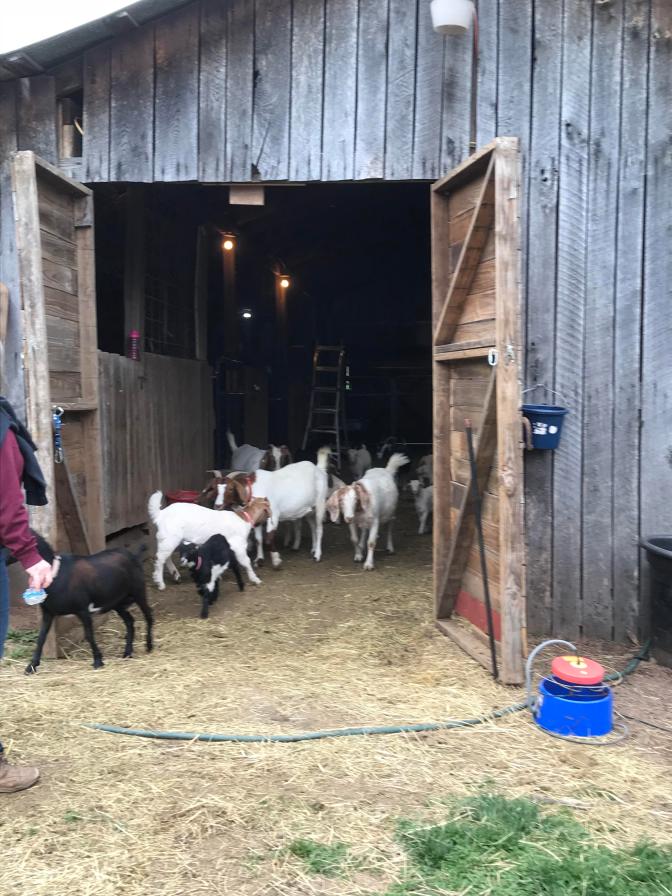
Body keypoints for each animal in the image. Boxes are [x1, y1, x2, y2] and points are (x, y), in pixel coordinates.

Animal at [23, 533, 153, 673]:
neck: (56, 574)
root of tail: (133, 555)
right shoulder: (48, 613)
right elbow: (41, 638)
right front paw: (31, 666)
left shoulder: (82, 610)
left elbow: (89, 635)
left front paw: (98, 661)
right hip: (117, 602)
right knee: (129, 621)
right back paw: (127, 653)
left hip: (138, 591)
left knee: (148, 615)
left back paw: (149, 645)